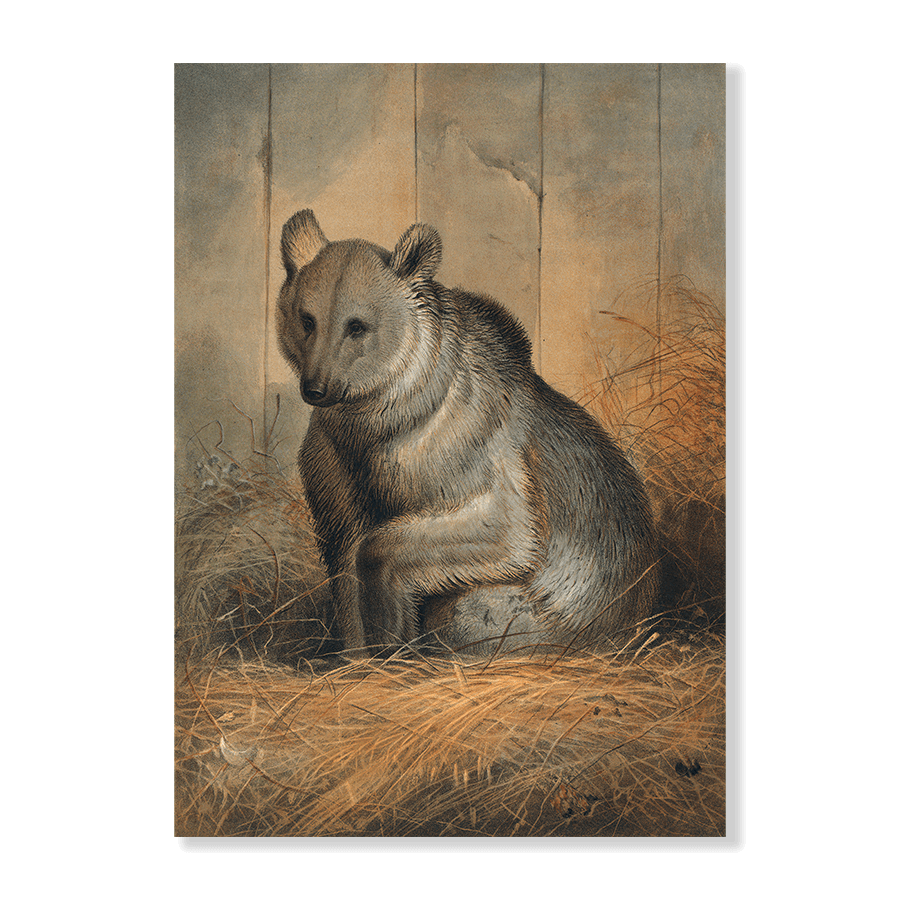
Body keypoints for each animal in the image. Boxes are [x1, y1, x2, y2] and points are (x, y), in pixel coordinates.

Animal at [277, 209, 659, 657]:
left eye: (357, 326)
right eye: (307, 319)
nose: (316, 388)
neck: (379, 416)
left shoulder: (461, 447)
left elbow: (502, 529)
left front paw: (393, 638)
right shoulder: (337, 460)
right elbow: (345, 552)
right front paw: (356, 654)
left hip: (540, 617)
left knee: (465, 614)